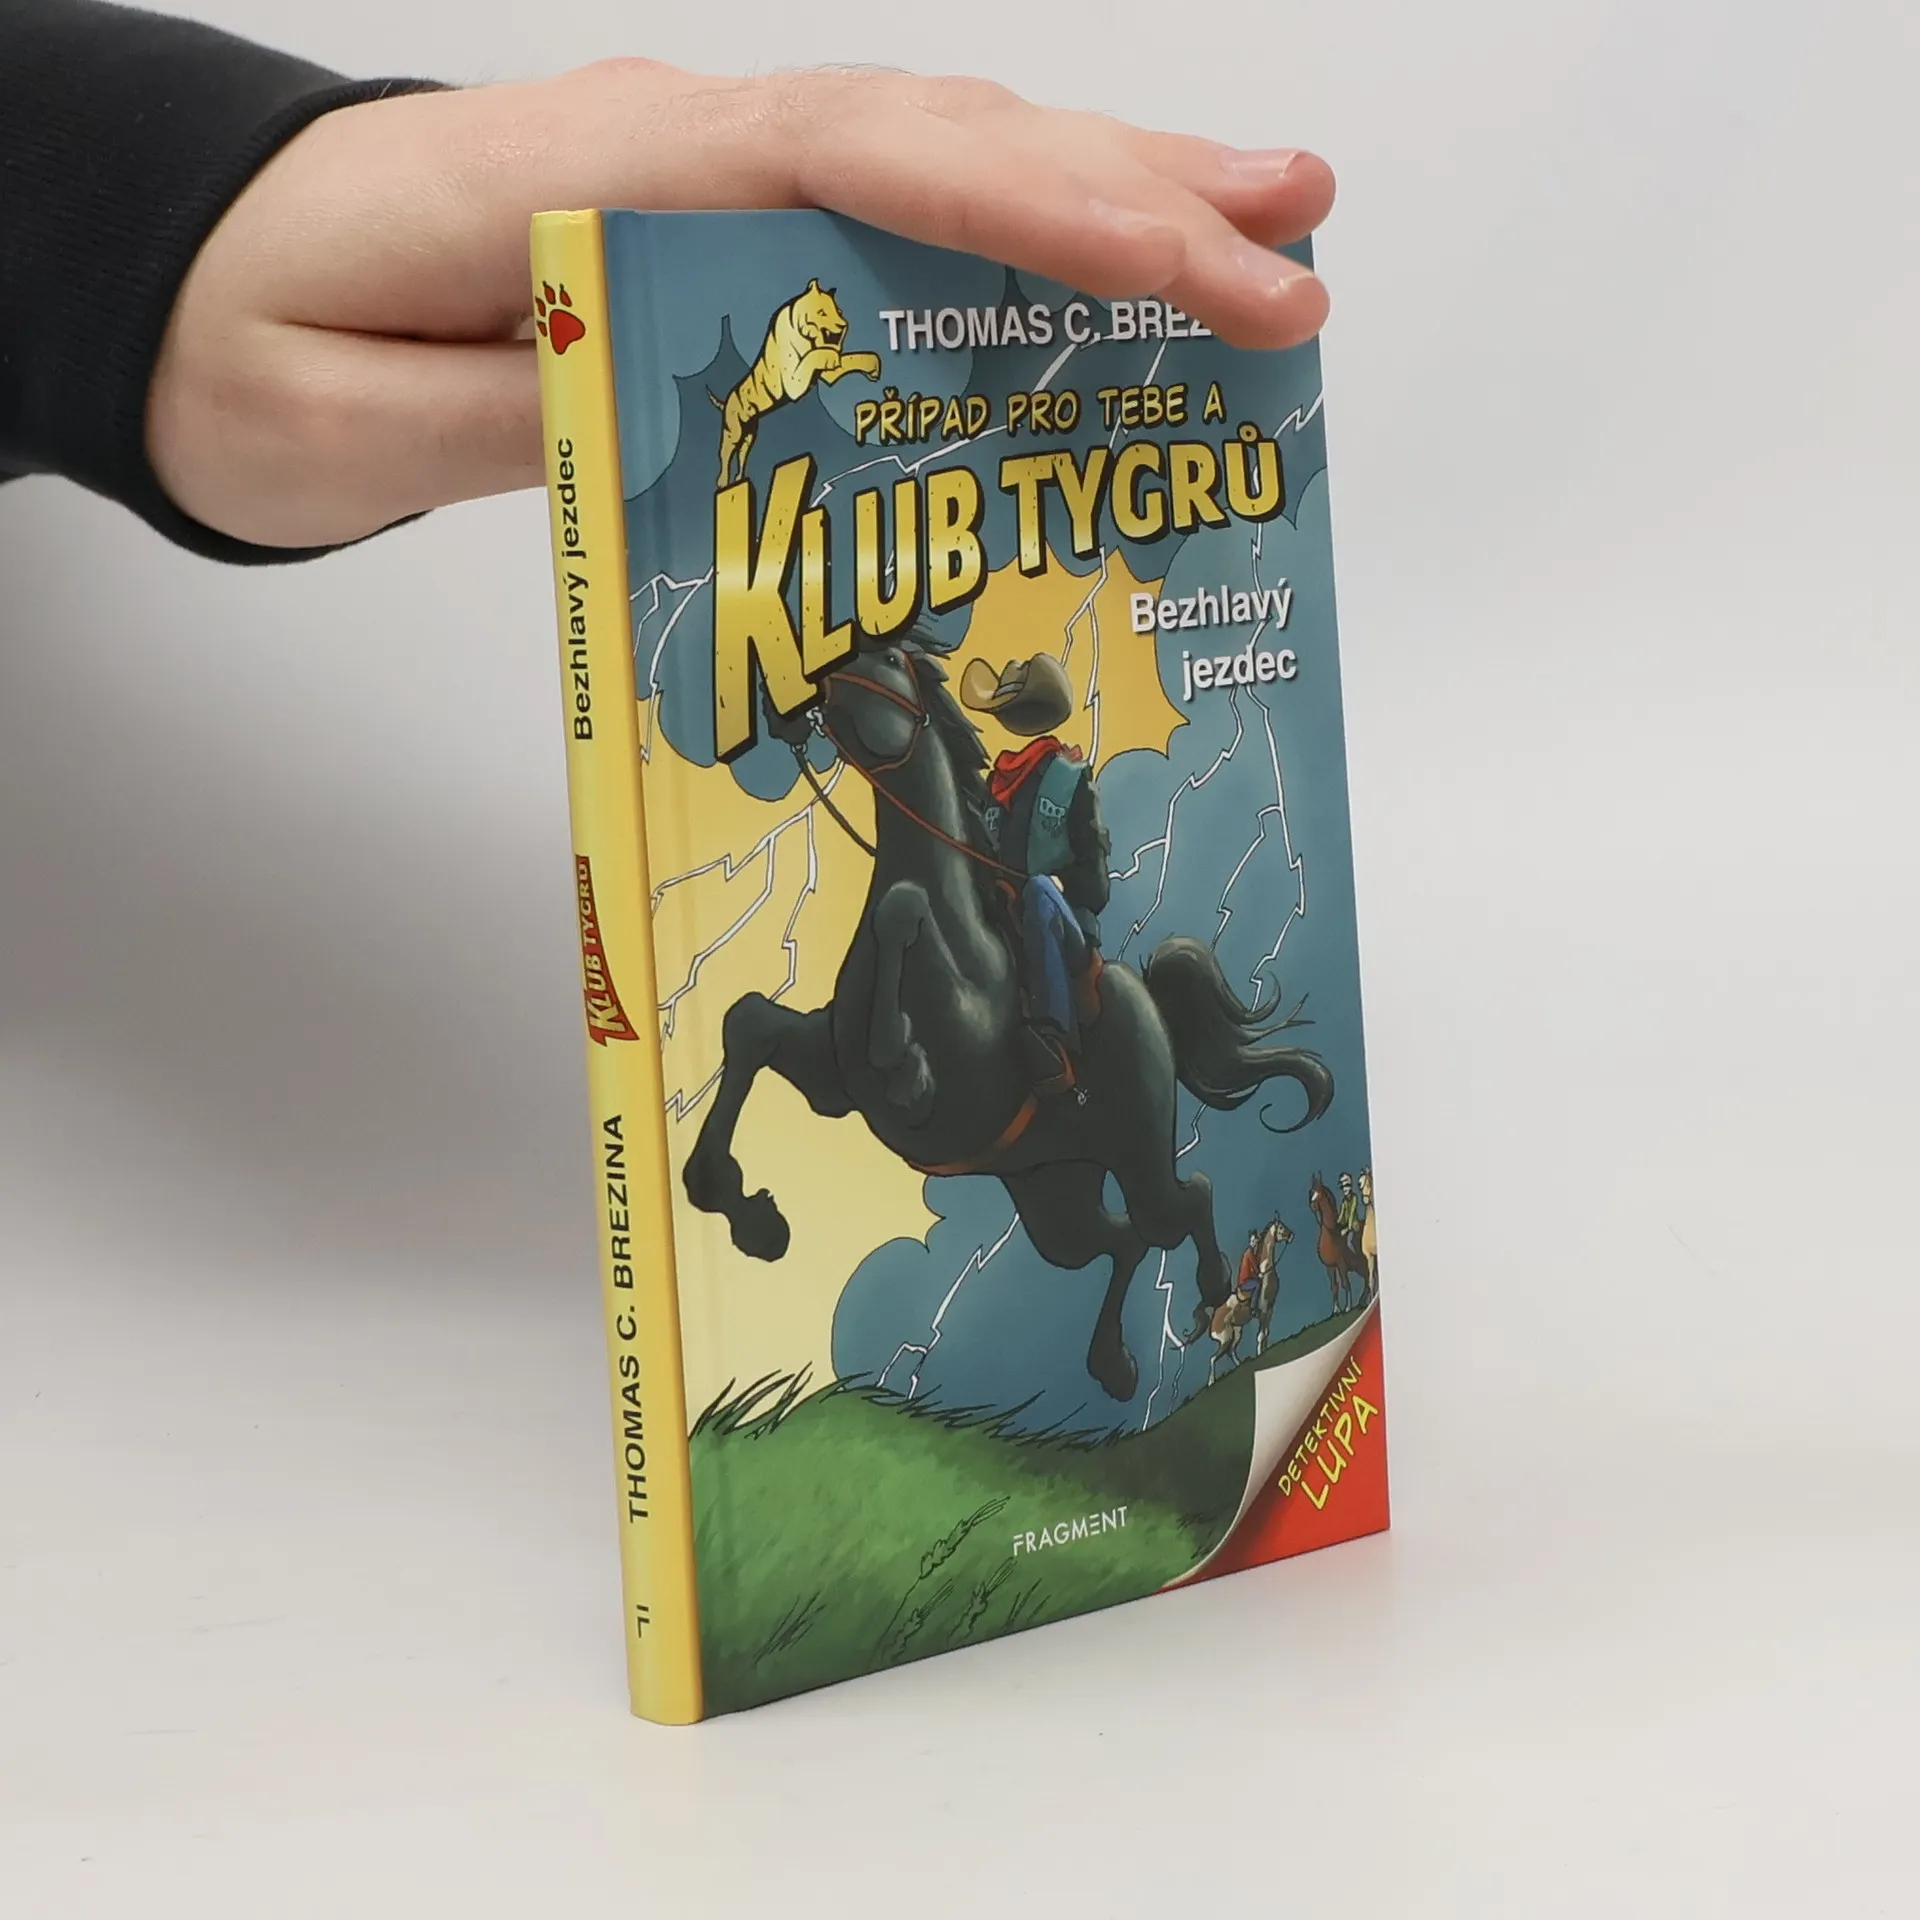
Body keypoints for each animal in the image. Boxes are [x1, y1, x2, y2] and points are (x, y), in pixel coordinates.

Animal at [683, 635, 1335, 1403]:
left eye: (886, 662)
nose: (786, 705)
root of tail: (1148, 1000)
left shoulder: (949, 1075)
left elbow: (904, 913)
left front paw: (902, 1064)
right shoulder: (834, 1082)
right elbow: (748, 1023)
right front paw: (748, 1214)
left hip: (1135, 1151)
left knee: (1181, 1202)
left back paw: (1209, 1293)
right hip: (1054, 1198)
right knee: (1121, 1238)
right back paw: (1115, 1364)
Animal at [1307, 1173, 1369, 1316]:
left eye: (1320, 1192)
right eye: (1311, 1191)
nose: (1312, 1206)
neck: (1331, 1233)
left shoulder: (1342, 1265)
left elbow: (1345, 1283)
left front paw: (1348, 1307)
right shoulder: (1330, 1267)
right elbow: (1334, 1287)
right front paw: (1335, 1310)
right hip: (1360, 1266)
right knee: (1367, 1278)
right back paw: (1363, 1301)